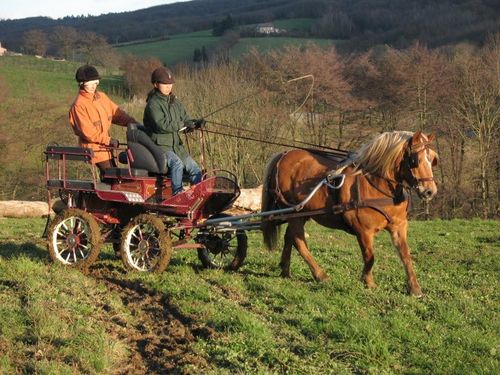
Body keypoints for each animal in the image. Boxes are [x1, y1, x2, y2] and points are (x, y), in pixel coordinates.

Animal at [262, 131, 438, 296]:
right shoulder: (363, 231)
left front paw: (414, 288)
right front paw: (368, 282)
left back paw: (285, 269)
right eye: (415, 160)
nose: (430, 191)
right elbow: (370, 257)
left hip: (300, 213)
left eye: (432, 159)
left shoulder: (399, 226)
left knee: (289, 237)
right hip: (294, 213)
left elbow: (405, 255)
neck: (377, 184)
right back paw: (320, 275)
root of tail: (283, 155)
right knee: (299, 242)